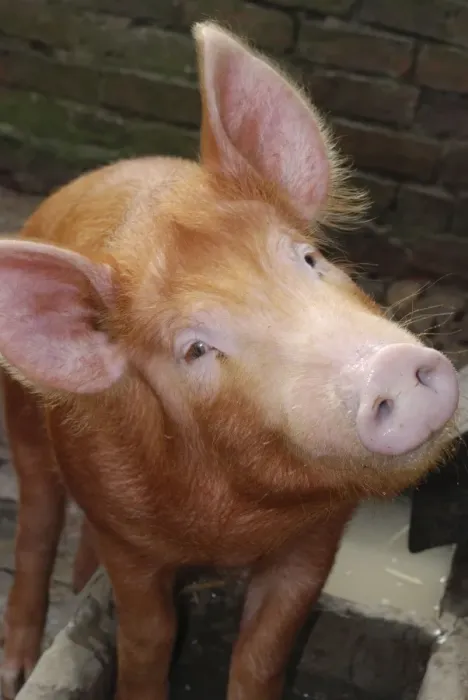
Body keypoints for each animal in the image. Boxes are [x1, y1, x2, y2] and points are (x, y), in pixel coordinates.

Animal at [0, 21, 459, 700]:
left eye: (309, 259)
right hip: (24, 421)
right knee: (36, 519)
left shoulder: (316, 538)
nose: (390, 367)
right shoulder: (126, 538)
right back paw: (17, 669)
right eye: (195, 348)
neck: (236, 522)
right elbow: (147, 641)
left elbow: (265, 649)